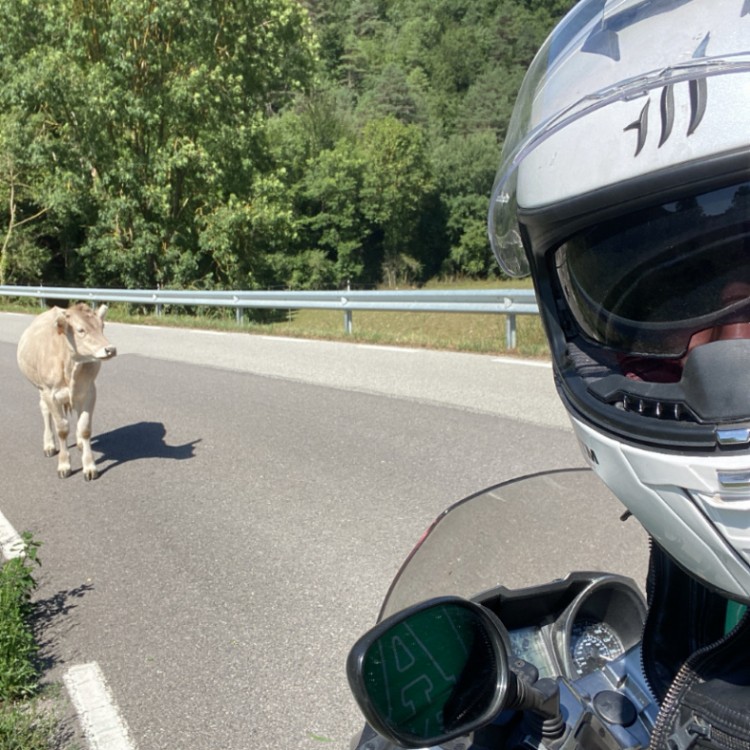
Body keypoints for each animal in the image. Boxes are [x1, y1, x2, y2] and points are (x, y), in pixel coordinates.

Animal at [17, 303, 117, 480]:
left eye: (102, 326)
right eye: (80, 330)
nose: (110, 349)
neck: (71, 364)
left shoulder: (90, 391)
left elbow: (85, 428)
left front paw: (89, 466)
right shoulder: (50, 393)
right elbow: (62, 429)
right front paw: (64, 465)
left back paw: (79, 443)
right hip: (40, 389)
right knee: (45, 411)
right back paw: (49, 445)